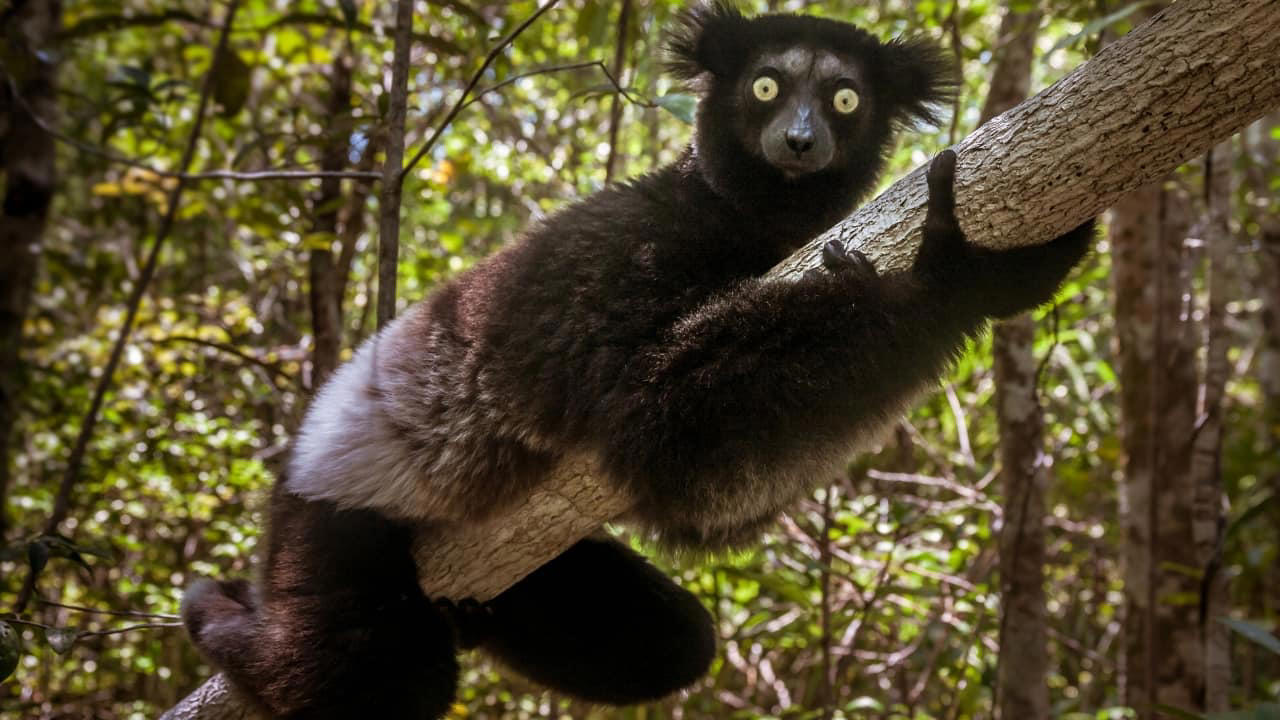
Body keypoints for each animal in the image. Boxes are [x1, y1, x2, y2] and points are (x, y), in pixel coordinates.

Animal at [181, 3, 1093, 718]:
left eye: (845, 99)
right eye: (766, 86)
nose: (800, 140)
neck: (744, 215)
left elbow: (711, 502)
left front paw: (1007, 270)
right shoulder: (622, 251)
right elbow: (659, 420)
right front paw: (955, 270)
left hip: (532, 568)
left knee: (668, 645)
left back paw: (468, 620)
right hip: (333, 523)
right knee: (376, 673)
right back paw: (224, 625)